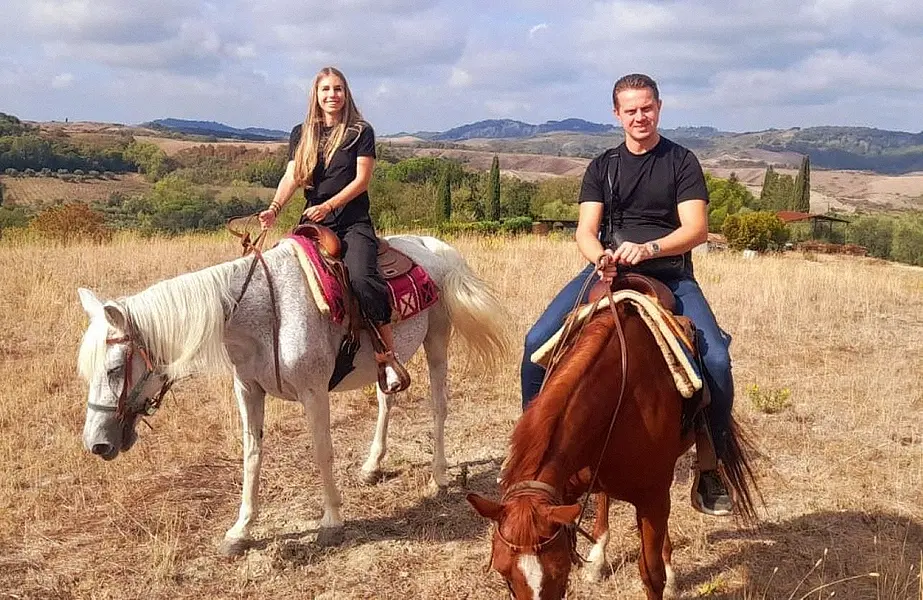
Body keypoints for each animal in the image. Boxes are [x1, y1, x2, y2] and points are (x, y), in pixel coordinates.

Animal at [77, 234, 512, 552]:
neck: (263, 315)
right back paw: (372, 465)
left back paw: (439, 475)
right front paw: (241, 530)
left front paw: (332, 521)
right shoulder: (248, 390)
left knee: (439, 405)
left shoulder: (313, 392)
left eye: (114, 369)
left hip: (437, 341)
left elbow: (322, 452)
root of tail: (434, 247)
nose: (96, 444)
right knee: (387, 400)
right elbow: (251, 455)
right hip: (388, 363)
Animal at [470, 304, 756, 600]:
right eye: (504, 573)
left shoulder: (652, 499)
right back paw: (597, 557)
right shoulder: (564, 492)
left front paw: (665, 573)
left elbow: (652, 574)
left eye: (559, 572)